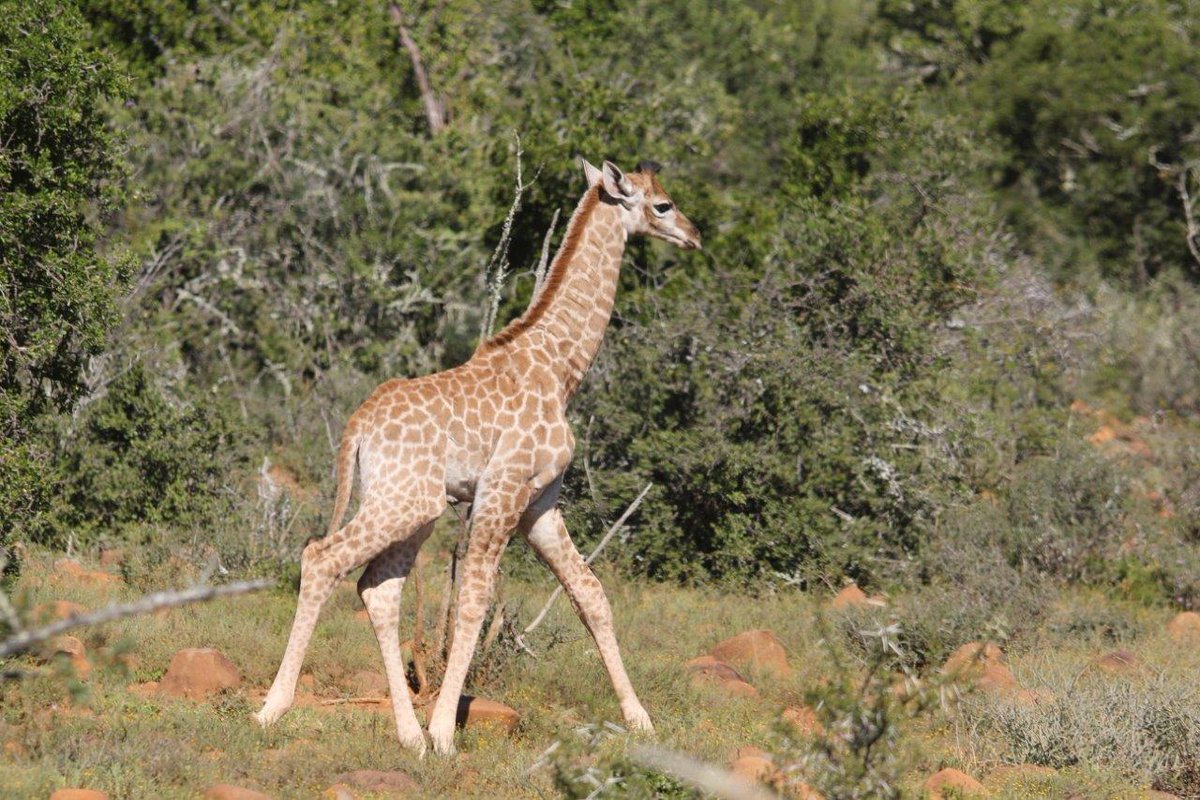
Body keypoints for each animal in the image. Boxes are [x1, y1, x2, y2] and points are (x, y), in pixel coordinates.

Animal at [253, 157, 702, 756]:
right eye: (662, 205)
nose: (694, 236)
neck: (561, 369)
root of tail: (356, 427)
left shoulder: (541, 502)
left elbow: (589, 592)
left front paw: (640, 720)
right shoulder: (503, 488)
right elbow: (473, 598)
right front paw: (446, 731)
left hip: (412, 506)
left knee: (379, 588)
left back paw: (408, 735)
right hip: (407, 502)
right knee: (322, 558)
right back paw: (273, 709)